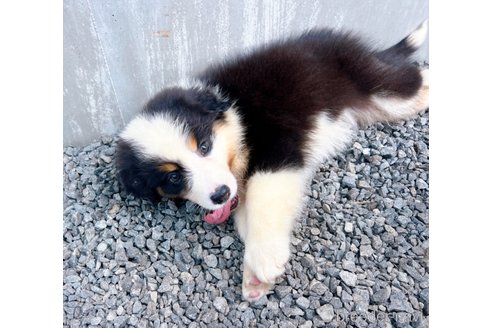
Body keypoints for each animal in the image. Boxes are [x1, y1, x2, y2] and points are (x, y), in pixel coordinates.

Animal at [115, 21, 426, 302]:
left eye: (204, 146)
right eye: (173, 177)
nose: (220, 194)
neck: (236, 114)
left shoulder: (277, 150)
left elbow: (264, 197)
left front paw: (264, 258)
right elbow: (246, 212)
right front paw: (254, 277)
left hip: (378, 85)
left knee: (419, 79)